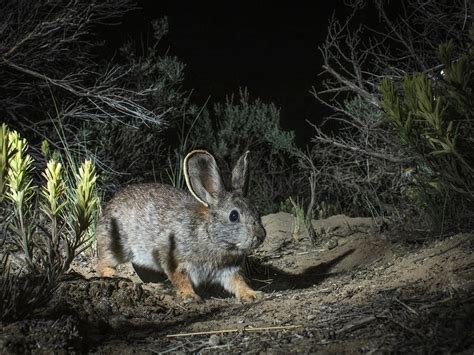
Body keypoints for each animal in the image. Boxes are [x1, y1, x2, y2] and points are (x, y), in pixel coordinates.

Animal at [95, 149, 266, 302]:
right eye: (234, 216)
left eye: (256, 211)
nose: (261, 236)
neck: (209, 235)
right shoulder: (174, 260)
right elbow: (180, 279)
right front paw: (189, 296)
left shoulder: (228, 269)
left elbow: (237, 282)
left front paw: (252, 294)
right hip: (116, 246)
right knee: (102, 262)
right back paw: (112, 273)